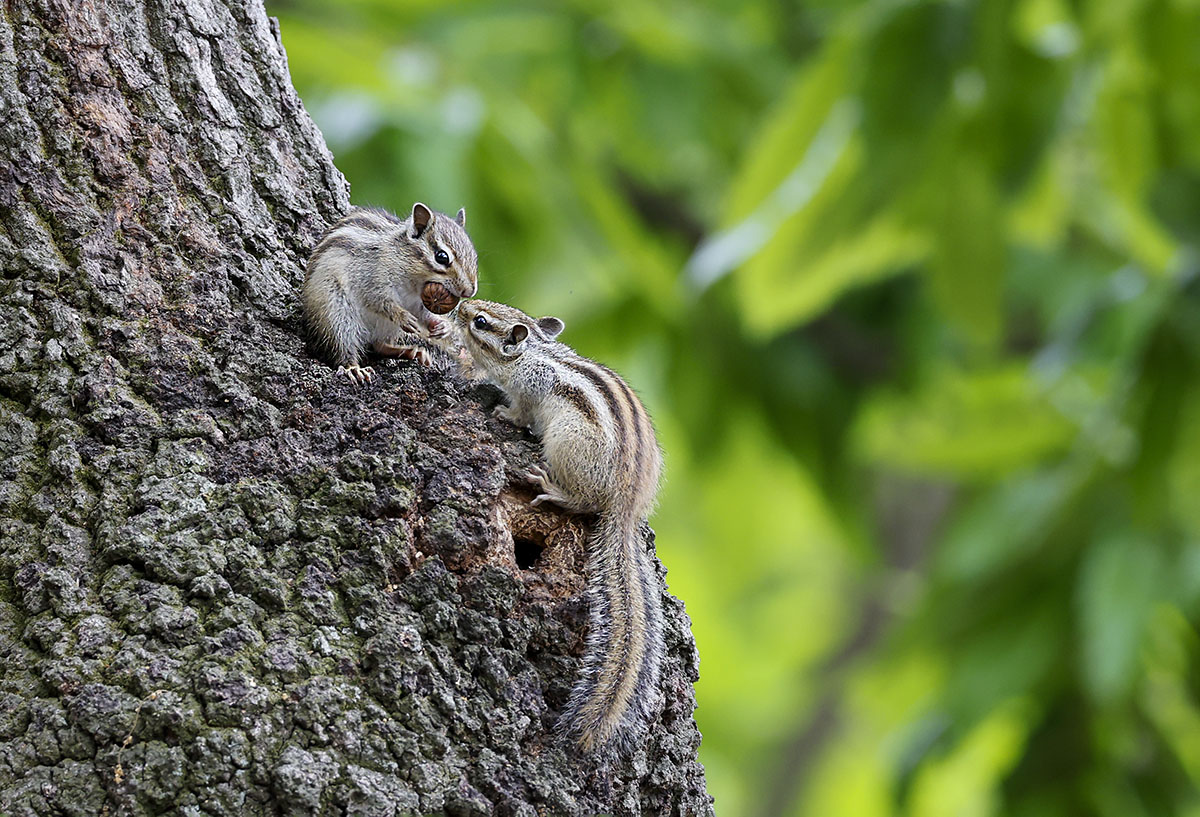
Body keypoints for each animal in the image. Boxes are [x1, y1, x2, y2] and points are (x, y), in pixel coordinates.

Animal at [302, 203, 478, 384]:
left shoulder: (417, 303)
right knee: (344, 347)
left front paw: (441, 325)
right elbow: (379, 302)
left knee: (379, 345)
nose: (470, 291)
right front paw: (403, 316)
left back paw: (412, 352)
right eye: (441, 257)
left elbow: (424, 314)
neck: (413, 284)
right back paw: (354, 368)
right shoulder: (370, 279)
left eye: (474, 256)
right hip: (337, 314)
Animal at [454, 298, 664, 754]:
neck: (535, 353)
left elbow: (519, 412)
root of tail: (625, 505)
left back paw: (551, 488)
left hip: (566, 446)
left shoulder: (529, 393)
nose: (461, 305)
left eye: (480, 321)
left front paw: (501, 410)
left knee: (584, 501)